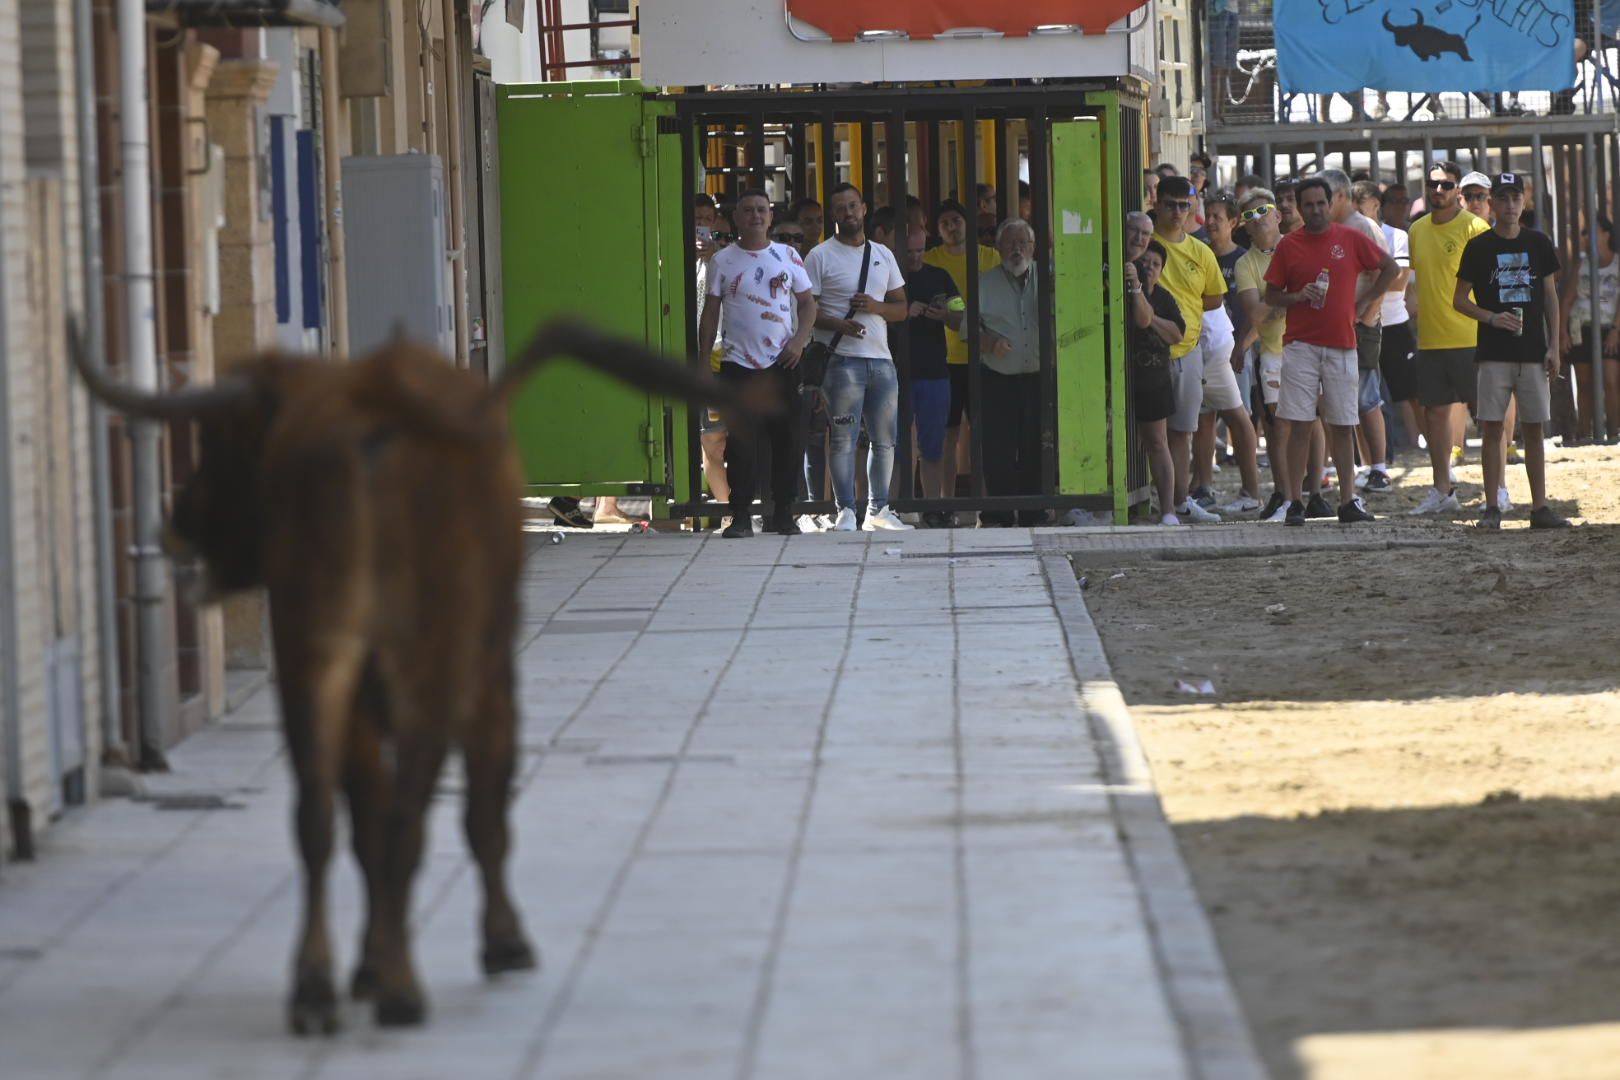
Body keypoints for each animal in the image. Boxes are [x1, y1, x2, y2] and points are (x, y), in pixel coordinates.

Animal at [69, 325, 741, 1036]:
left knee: (320, 817)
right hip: (432, 664)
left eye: (225, 448)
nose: (174, 531)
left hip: (315, 653)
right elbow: (477, 813)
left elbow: (367, 820)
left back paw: (317, 990)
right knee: (410, 818)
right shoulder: (489, 676)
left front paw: (368, 963)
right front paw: (497, 942)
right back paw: (398, 989)